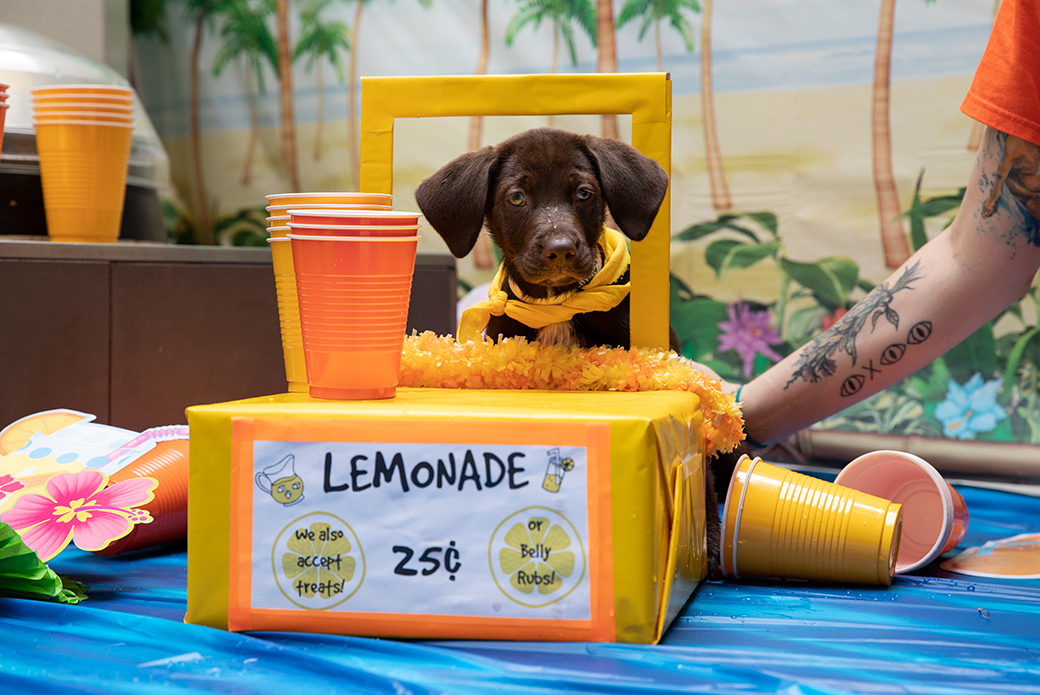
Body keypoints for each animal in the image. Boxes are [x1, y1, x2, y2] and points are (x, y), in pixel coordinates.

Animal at [413, 127, 723, 578]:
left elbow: (705, 478)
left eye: (583, 193)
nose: (560, 249)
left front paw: (708, 544)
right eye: (516, 198)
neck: (557, 304)